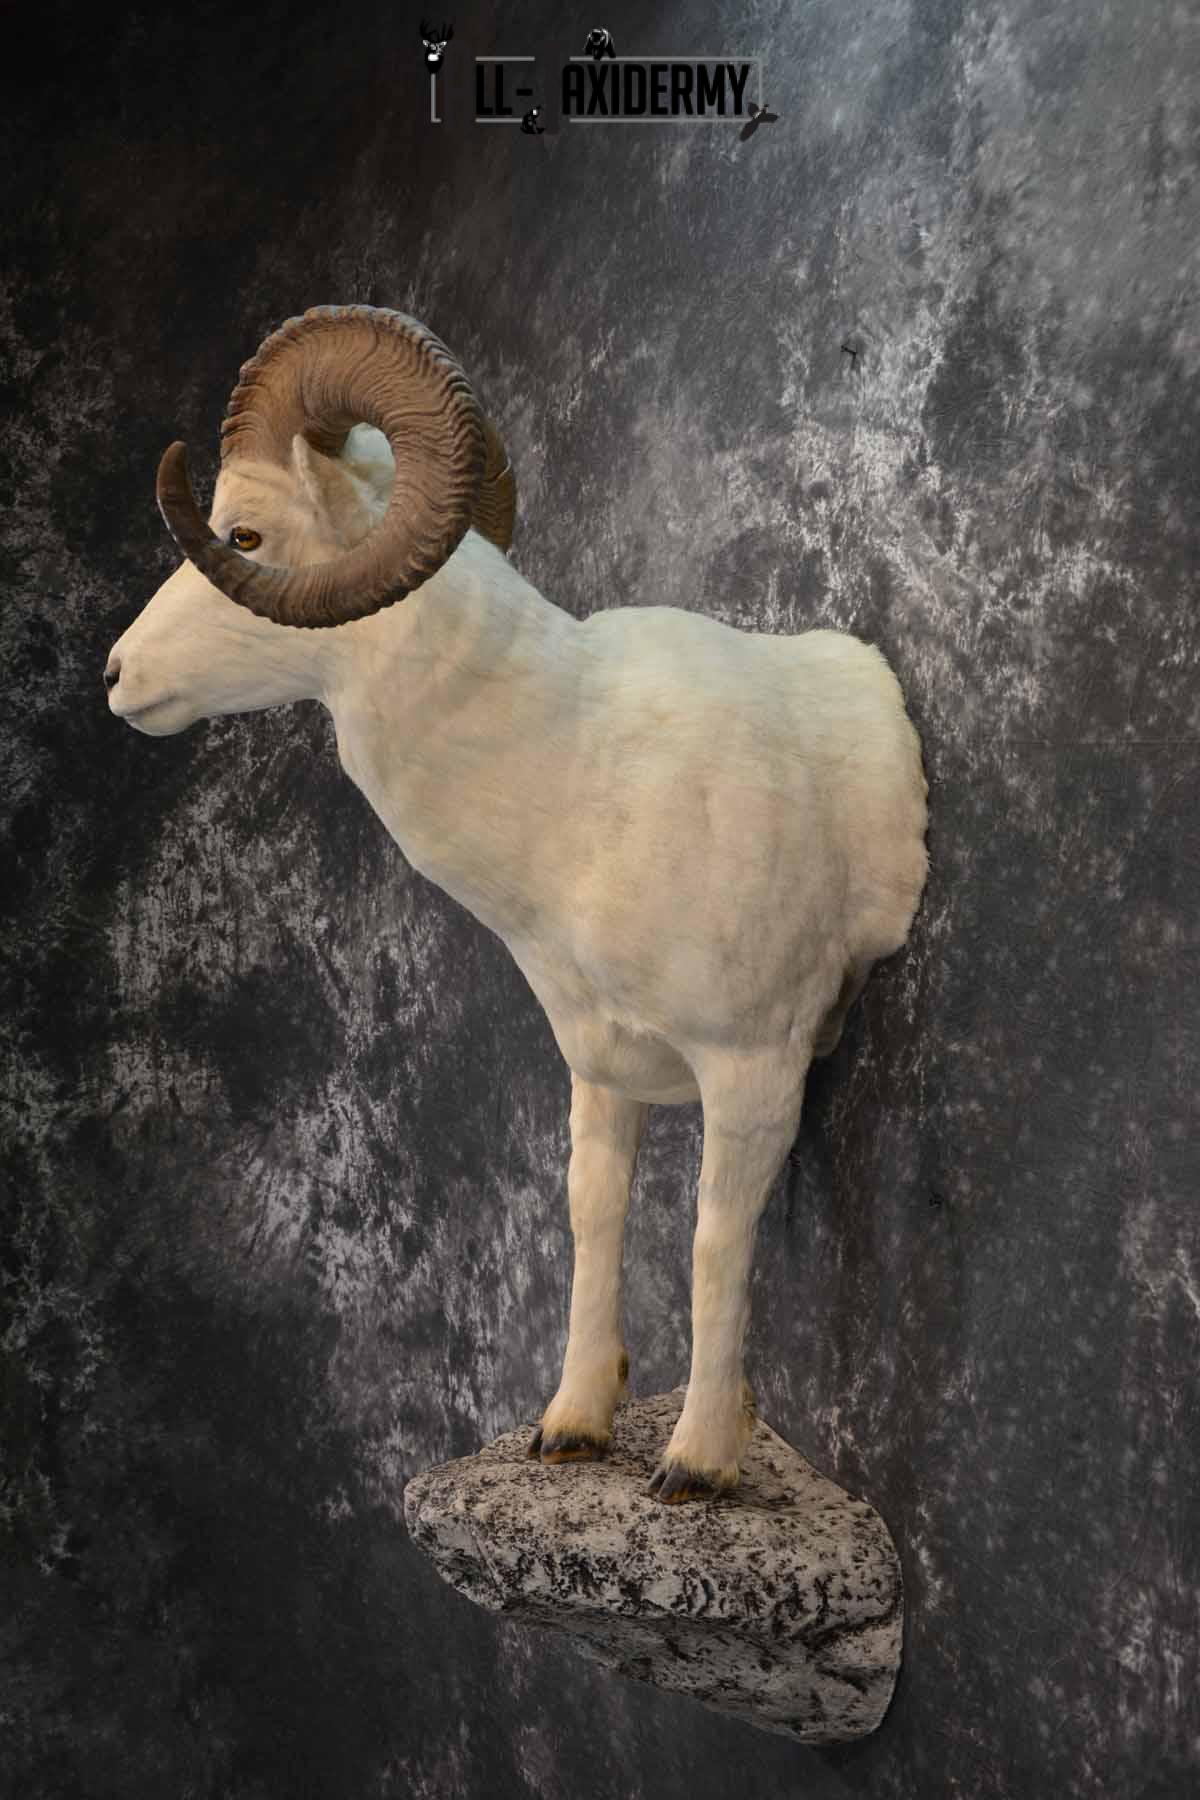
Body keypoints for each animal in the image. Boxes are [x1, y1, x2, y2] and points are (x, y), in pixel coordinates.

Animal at [105, 304, 928, 1503]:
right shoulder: (599, 1065)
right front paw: (574, 1427)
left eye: (243, 536)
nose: (118, 676)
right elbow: (593, 1210)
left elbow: (714, 1241)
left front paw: (696, 1464)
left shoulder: (752, 1069)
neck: (574, 777)